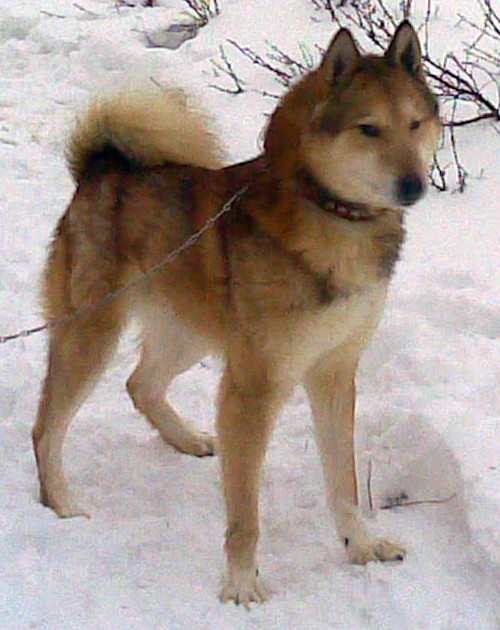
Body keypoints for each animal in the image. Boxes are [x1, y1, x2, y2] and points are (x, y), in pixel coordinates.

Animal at [33, 21, 440, 605]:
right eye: (368, 129)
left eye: (415, 123)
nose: (415, 185)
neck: (332, 213)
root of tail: (101, 168)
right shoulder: (252, 388)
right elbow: (245, 511)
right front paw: (242, 582)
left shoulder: (334, 371)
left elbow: (342, 482)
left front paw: (360, 545)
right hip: (92, 333)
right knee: (46, 430)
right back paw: (61, 502)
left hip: (189, 334)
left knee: (140, 384)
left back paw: (185, 439)